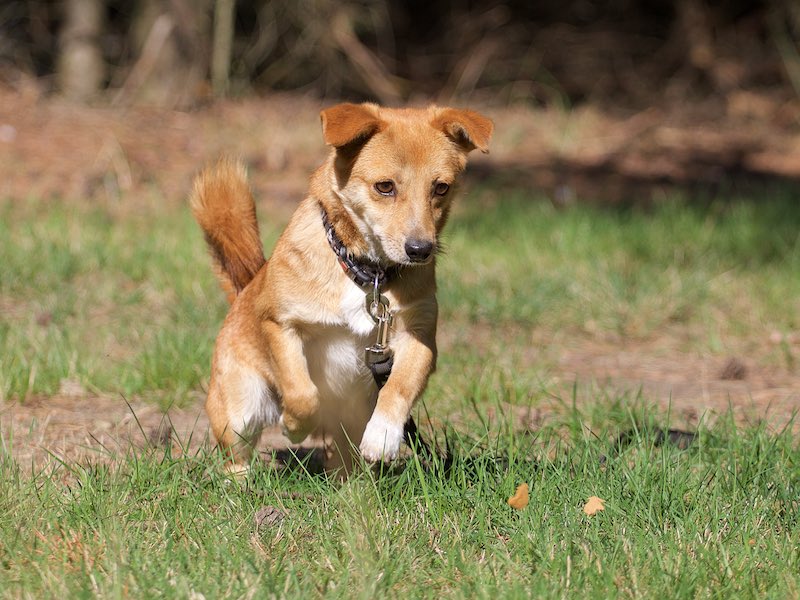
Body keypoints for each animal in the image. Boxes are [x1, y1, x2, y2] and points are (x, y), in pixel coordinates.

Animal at [190, 102, 492, 472]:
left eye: (441, 188)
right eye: (385, 186)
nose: (421, 249)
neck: (367, 274)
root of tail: (244, 289)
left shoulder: (419, 339)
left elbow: (399, 386)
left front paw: (383, 435)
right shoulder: (280, 325)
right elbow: (302, 392)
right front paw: (294, 425)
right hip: (239, 406)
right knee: (237, 451)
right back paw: (242, 478)